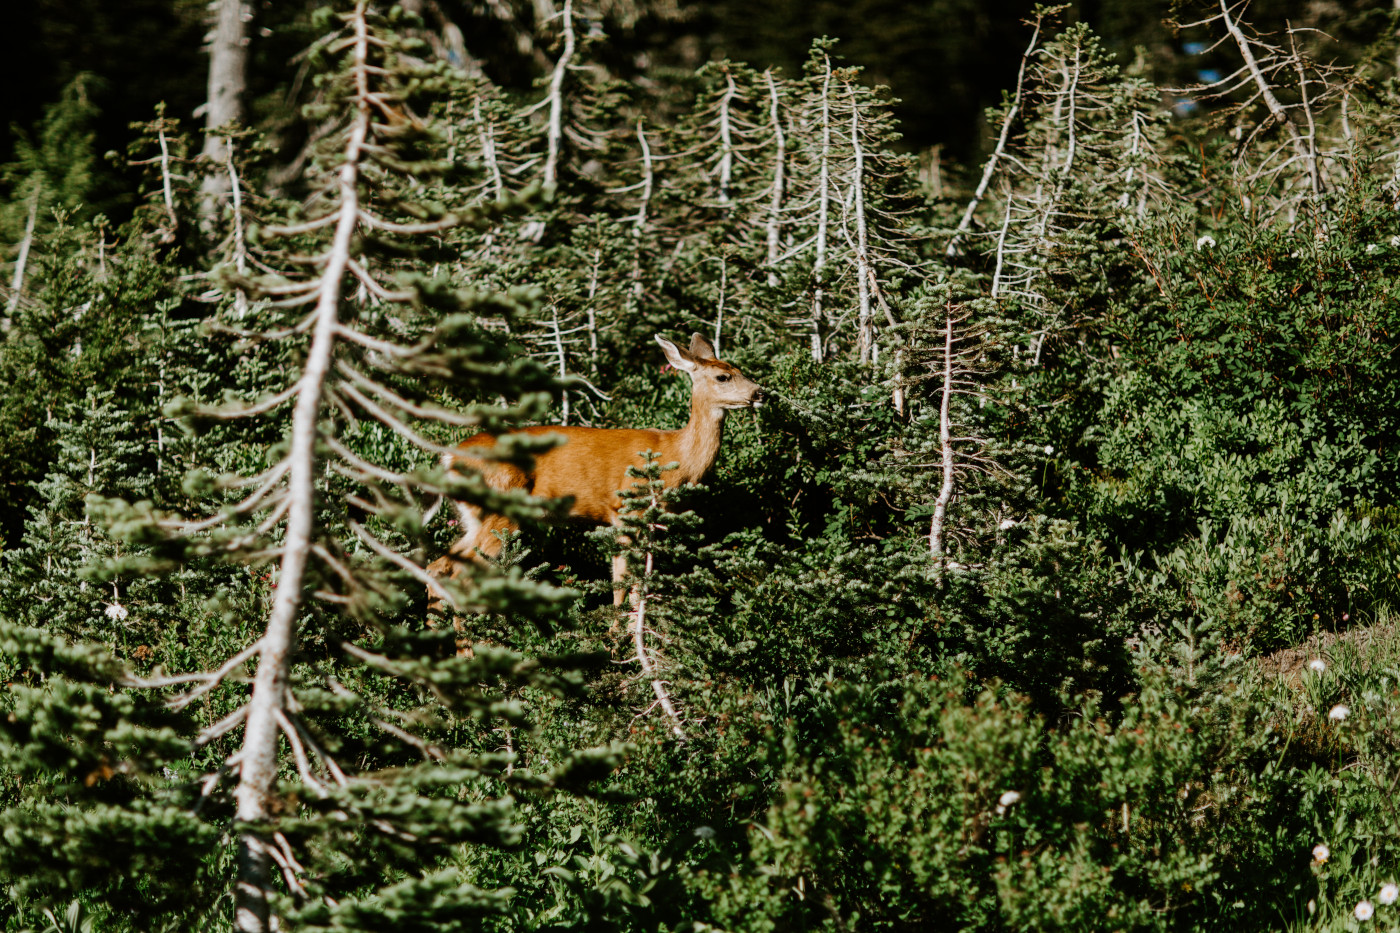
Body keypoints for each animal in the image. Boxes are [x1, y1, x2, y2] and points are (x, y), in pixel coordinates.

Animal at [427, 332, 766, 607]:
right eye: (723, 377)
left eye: (740, 370)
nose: (761, 392)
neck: (676, 456)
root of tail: (449, 459)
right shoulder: (627, 509)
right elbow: (625, 584)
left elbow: (629, 584)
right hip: (500, 508)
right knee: (459, 575)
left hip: (474, 517)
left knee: (438, 566)